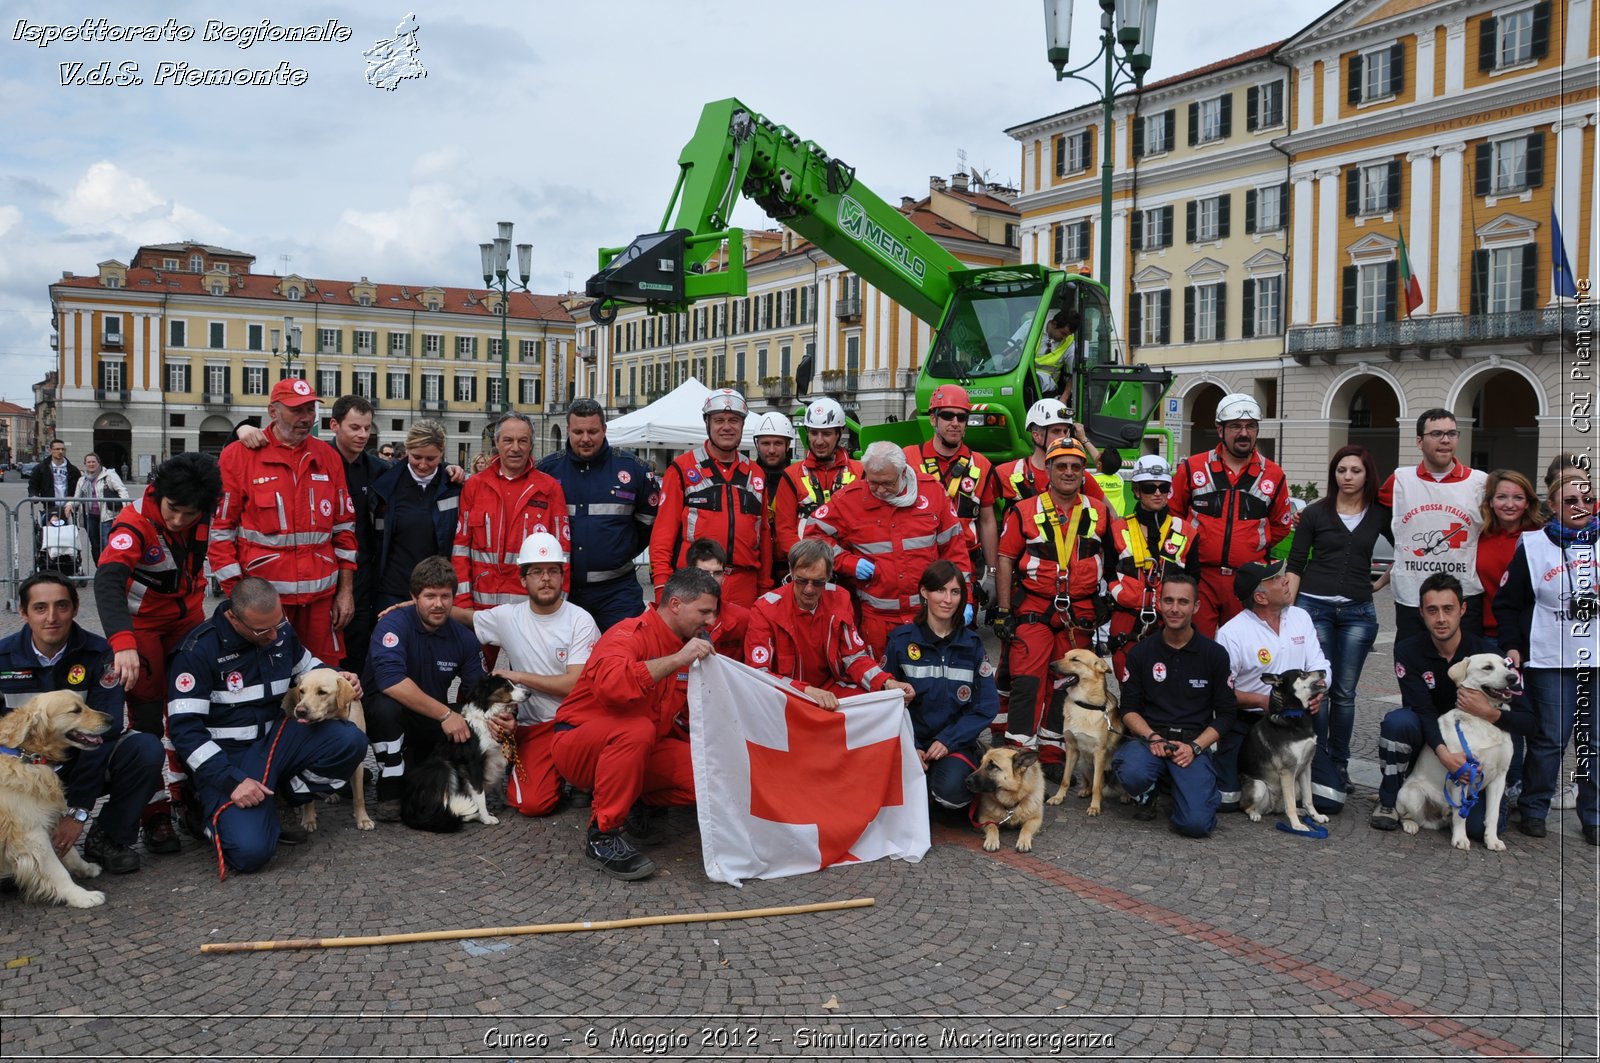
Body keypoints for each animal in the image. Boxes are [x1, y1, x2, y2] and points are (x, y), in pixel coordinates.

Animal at [0, 694, 111, 909]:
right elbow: (57, 871)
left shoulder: (44, 816)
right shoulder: (31, 833)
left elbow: (70, 852)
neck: (27, 756)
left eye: (84, 703)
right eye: (75, 710)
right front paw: (81, 896)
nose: (111, 718)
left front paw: (86, 868)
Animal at [283, 672, 369, 832]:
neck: (334, 719)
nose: (300, 711)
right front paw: (308, 819)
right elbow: (308, 796)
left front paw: (363, 819)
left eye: (322, 692)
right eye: (302, 691)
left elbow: (359, 796)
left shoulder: (358, 762)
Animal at [400, 675, 524, 832]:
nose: (529, 693)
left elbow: (497, 784)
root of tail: (406, 808)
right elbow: (480, 794)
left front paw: (507, 800)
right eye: (507, 686)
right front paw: (486, 817)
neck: (488, 714)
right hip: (442, 767)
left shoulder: (495, 758)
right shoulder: (473, 763)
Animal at [1235, 672, 1337, 832]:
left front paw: (1316, 816)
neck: (1293, 715)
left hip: (1296, 785)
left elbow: (1309, 799)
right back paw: (1255, 814)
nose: (1323, 672)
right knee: (1246, 807)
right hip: (1259, 786)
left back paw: (1302, 811)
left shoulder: (1306, 766)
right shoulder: (1287, 771)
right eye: (1302, 674)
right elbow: (1291, 806)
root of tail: (1271, 807)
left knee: (1283, 808)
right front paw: (1296, 825)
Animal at [1395, 653, 1516, 851]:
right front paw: (1460, 839)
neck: (1483, 719)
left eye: (1505, 665)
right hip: (1413, 794)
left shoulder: (1499, 777)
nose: (1513, 678)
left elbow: (1493, 815)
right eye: (1487, 667)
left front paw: (1492, 840)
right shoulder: (1462, 774)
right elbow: (1461, 814)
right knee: (1406, 816)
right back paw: (1410, 825)